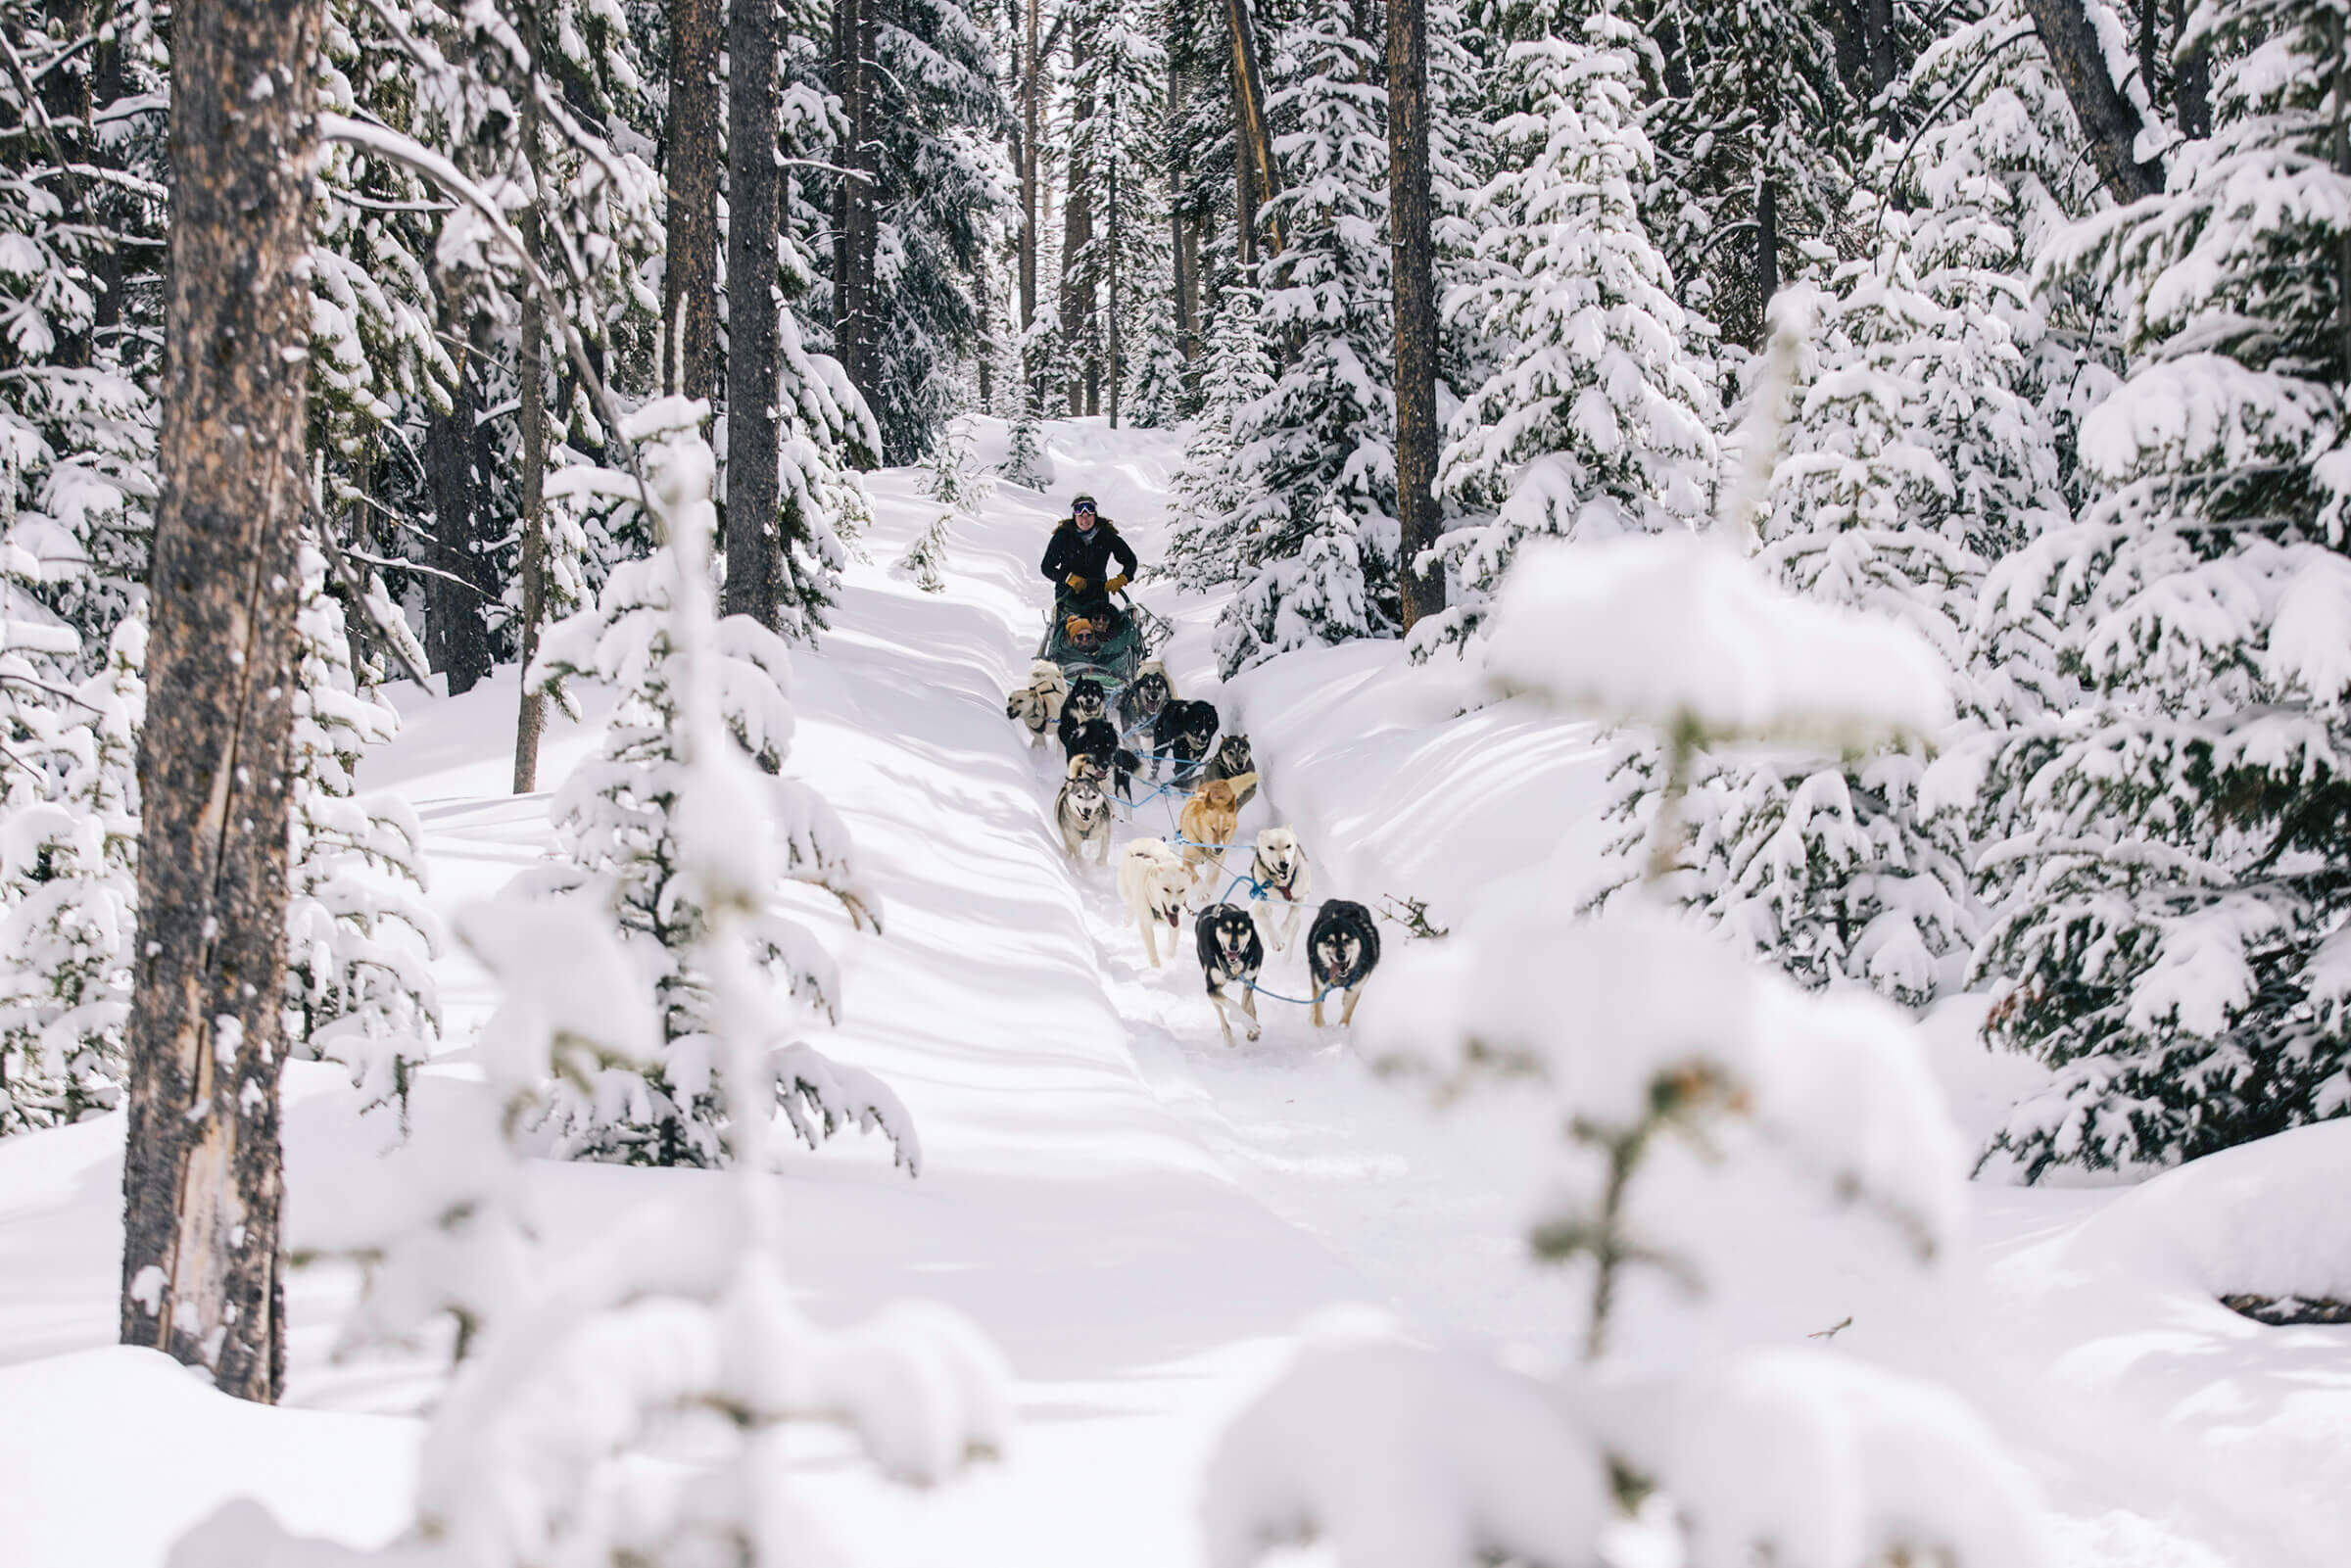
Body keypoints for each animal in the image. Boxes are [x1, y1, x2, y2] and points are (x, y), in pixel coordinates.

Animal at [1194, 902, 1270, 1048]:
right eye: (1225, 929)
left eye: (1242, 930)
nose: (1234, 946)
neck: (1234, 965)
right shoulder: (1212, 988)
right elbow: (1233, 1003)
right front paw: (1246, 1022)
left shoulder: (1250, 979)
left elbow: (1244, 1004)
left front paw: (1251, 1026)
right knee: (1220, 1012)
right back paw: (1229, 1038)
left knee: (1249, 1003)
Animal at [1307, 893, 1372, 1029]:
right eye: (1330, 941)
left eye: (1346, 940)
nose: (1341, 955)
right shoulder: (1319, 985)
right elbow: (1318, 1017)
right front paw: (1319, 1028)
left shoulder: (1355, 988)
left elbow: (1346, 1017)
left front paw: (1342, 1029)